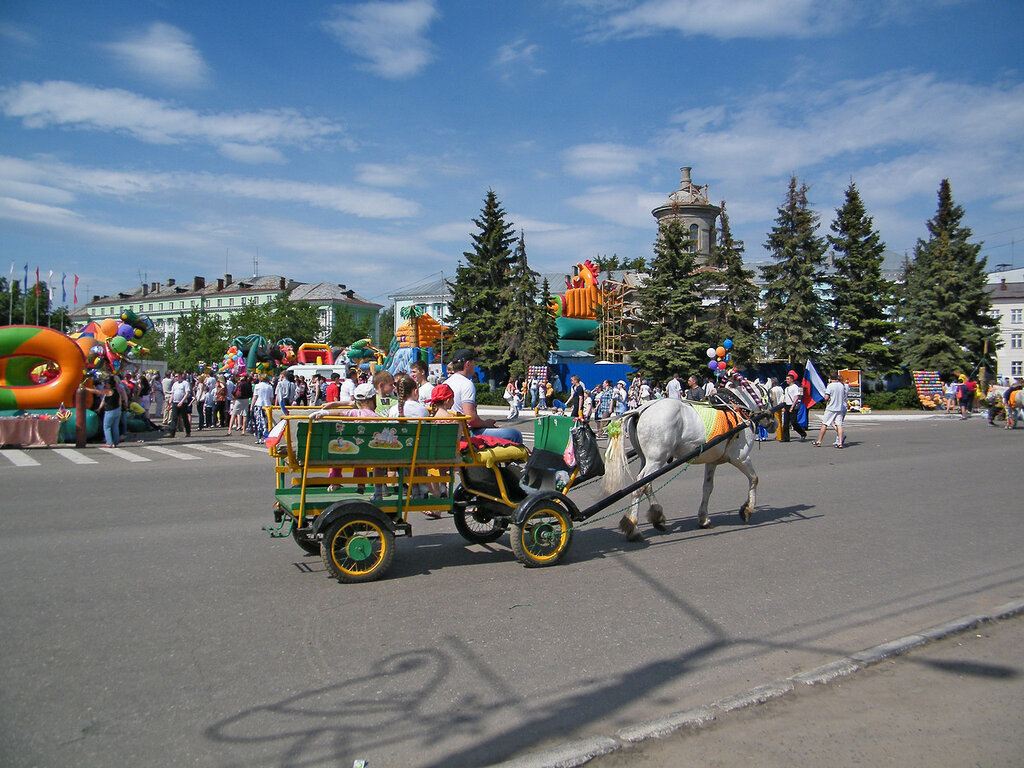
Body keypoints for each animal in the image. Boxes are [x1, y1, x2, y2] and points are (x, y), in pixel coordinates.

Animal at [602, 382, 778, 540]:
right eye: (770, 397)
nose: (774, 423)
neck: (736, 410)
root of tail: (640, 409)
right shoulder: (740, 457)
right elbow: (754, 479)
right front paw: (748, 509)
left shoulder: (712, 461)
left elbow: (707, 488)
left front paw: (704, 518)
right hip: (656, 459)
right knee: (639, 486)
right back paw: (633, 527)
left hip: (647, 459)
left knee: (646, 484)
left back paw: (657, 516)